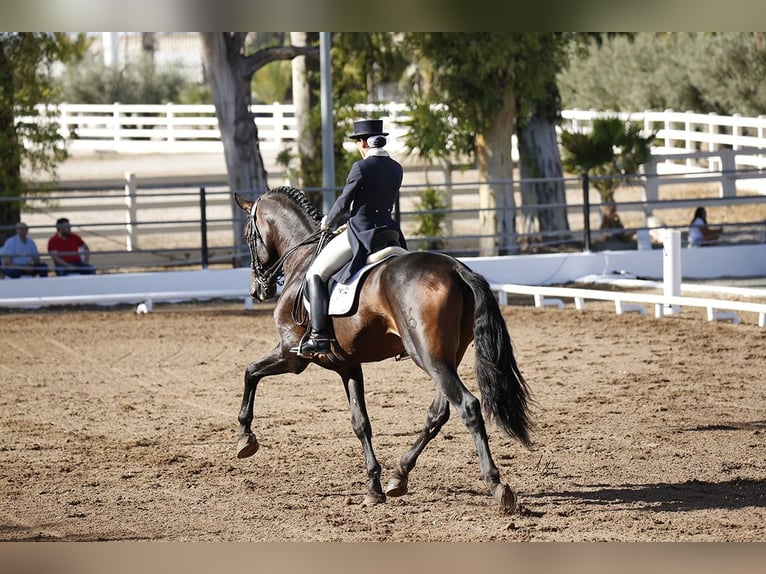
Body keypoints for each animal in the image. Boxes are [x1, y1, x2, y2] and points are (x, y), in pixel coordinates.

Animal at [234, 187, 536, 516]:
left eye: (248, 234)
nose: (257, 291)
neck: (302, 260)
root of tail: (457, 269)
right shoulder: (348, 366)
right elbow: (360, 423)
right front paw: (373, 487)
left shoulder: (291, 355)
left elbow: (250, 372)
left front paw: (245, 439)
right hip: (444, 358)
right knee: (438, 413)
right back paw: (398, 476)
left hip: (427, 356)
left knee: (467, 406)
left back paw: (497, 486)